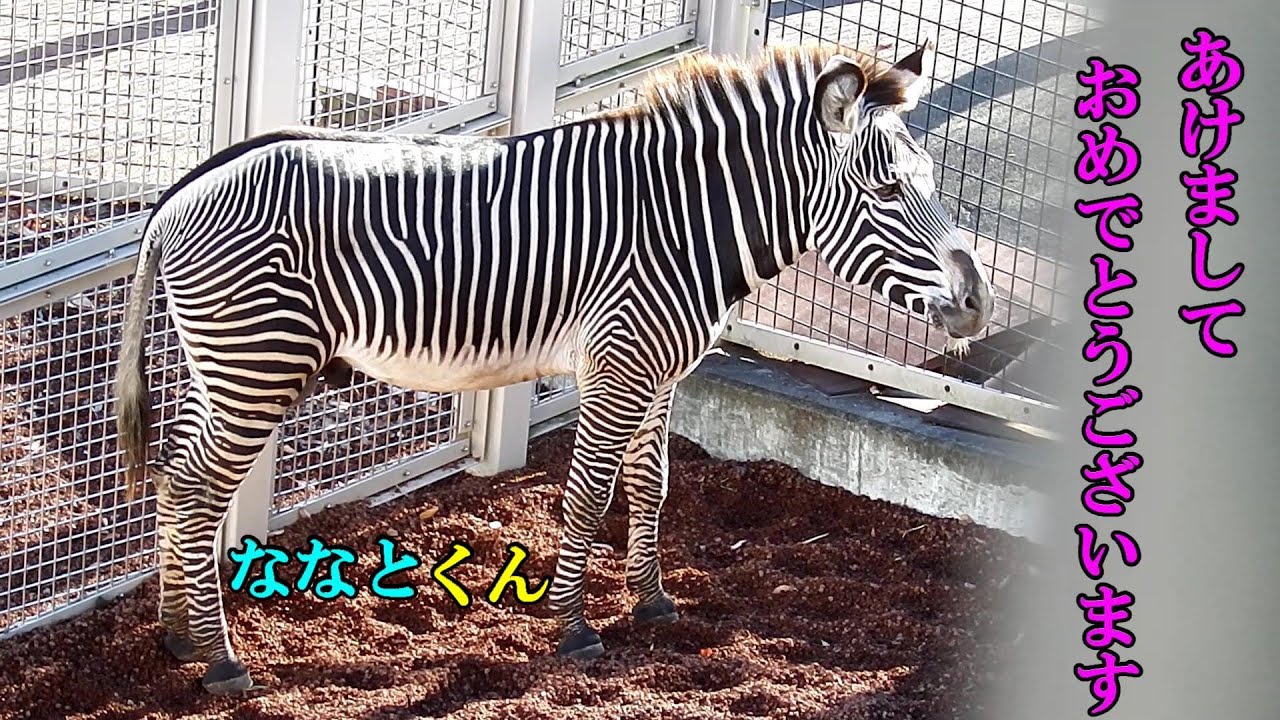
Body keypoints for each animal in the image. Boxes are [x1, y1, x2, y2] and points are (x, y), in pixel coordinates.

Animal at [114, 39, 993, 694]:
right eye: (888, 191)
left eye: (930, 184)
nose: (978, 305)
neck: (684, 221)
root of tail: (176, 194)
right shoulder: (619, 365)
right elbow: (586, 497)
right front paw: (573, 627)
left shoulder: (663, 372)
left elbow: (651, 485)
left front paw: (652, 602)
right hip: (257, 363)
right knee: (198, 489)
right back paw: (220, 660)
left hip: (219, 364)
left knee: (173, 475)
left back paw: (175, 635)